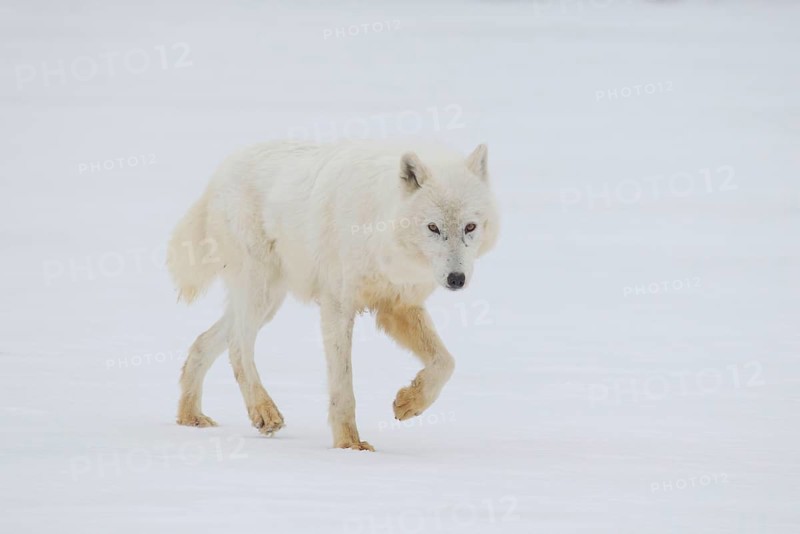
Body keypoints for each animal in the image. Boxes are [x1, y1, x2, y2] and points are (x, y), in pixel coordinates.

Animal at [167, 141, 499, 451]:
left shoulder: (397, 307)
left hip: (269, 302)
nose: (456, 279)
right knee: (238, 346)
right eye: (433, 227)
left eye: (470, 226)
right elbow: (343, 385)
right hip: (259, 289)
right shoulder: (337, 306)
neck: (378, 229)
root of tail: (221, 171)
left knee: (204, 342)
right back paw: (264, 411)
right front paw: (349, 444)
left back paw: (191, 416)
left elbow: (446, 363)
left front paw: (409, 402)